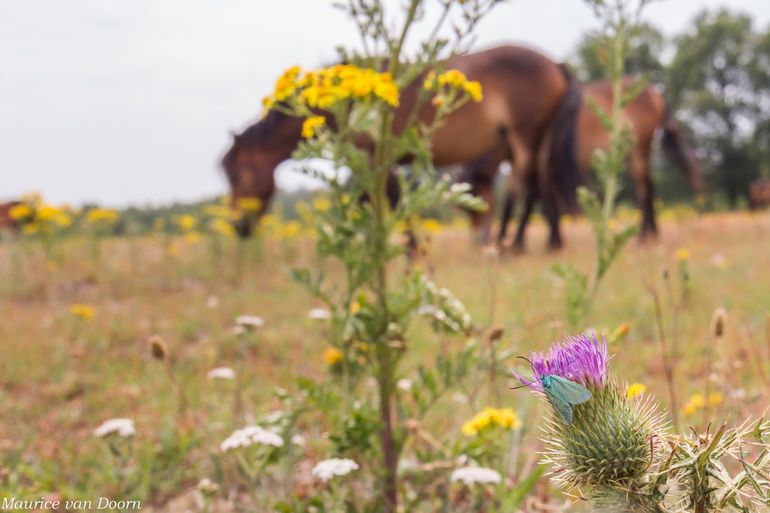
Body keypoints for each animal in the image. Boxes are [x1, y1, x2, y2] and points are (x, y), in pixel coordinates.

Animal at [219, 43, 580, 244]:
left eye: (237, 175)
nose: (238, 227)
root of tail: (556, 63)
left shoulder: (374, 155)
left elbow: (385, 200)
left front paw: (403, 246)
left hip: (527, 136)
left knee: (529, 188)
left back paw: (515, 245)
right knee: (539, 186)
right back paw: (544, 242)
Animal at [462, 78, 704, 248]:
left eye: (475, 197)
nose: (477, 240)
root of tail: (654, 93)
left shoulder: (541, 163)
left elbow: (532, 197)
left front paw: (525, 242)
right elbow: (538, 199)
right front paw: (548, 239)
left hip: (639, 148)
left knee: (644, 189)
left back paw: (645, 237)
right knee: (648, 187)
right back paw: (650, 234)